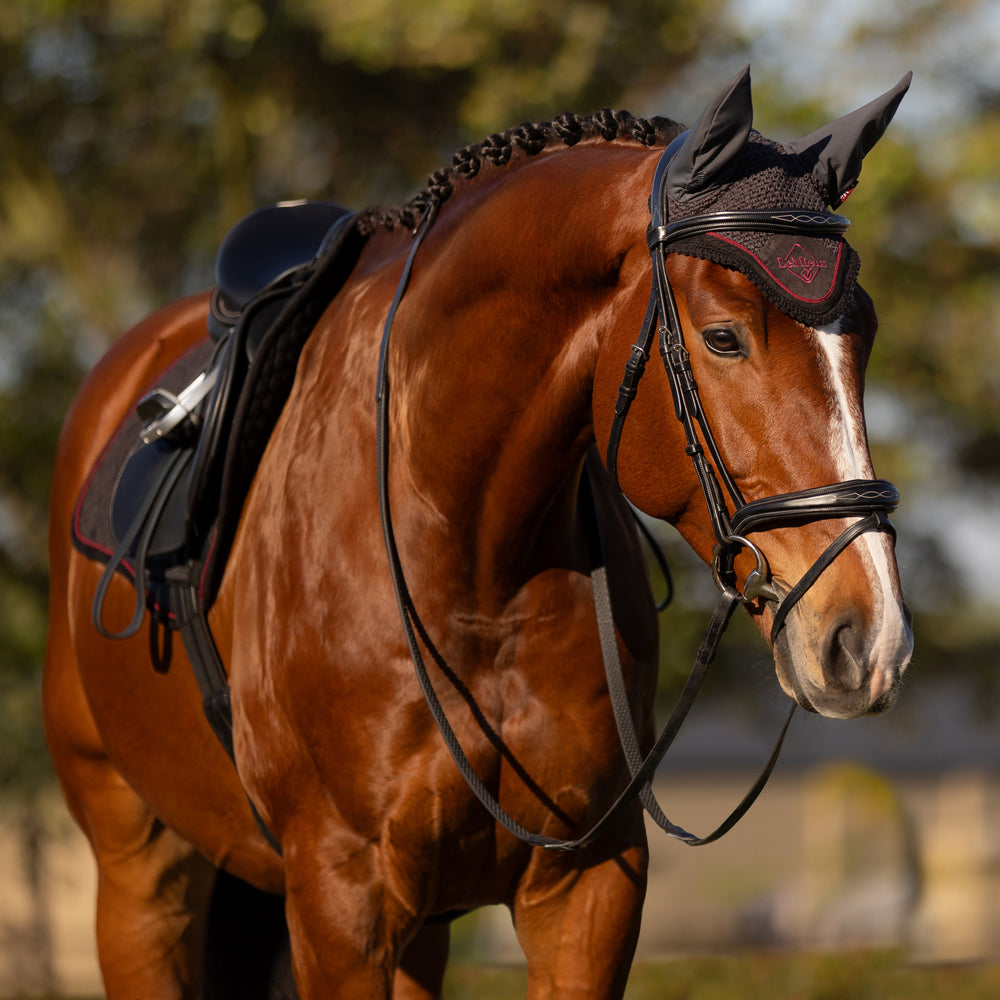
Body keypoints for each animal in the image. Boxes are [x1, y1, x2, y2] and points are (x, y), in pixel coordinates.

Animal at [43, 66, 912, 996]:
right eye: (722, 338)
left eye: (864, 335)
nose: (867, 640)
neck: (470, 559)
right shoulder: (339, 901)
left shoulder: (588, 890)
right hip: (140, 873)